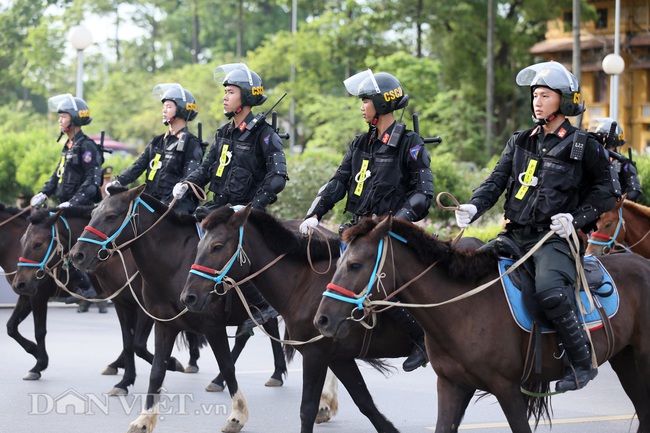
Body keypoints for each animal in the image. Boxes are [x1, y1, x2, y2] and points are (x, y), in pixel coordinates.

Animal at [69, 186, 286, 432]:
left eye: (111, 216)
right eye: (93, 212)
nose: (77, 254)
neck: (174, 264)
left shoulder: (211, 326)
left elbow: (227, 366)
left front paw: (237, 415)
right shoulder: (159, 322)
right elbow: (152, 366)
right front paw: (144, 416)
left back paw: (274, 374)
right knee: (249, 335)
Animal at [178, 203, 430, 432]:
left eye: (217, 246)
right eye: (199, 244)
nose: (188, 297)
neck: (303, 284)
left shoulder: (315, 355)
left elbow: (306, 410)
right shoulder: (338, 358)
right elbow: (366, 405)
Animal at [312, 215, 648, 432]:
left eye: (354, 265)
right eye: (339, 262)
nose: (322, 319)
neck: (462, 308)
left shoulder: (508, 389)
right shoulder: (452, 385)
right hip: (625, 359)